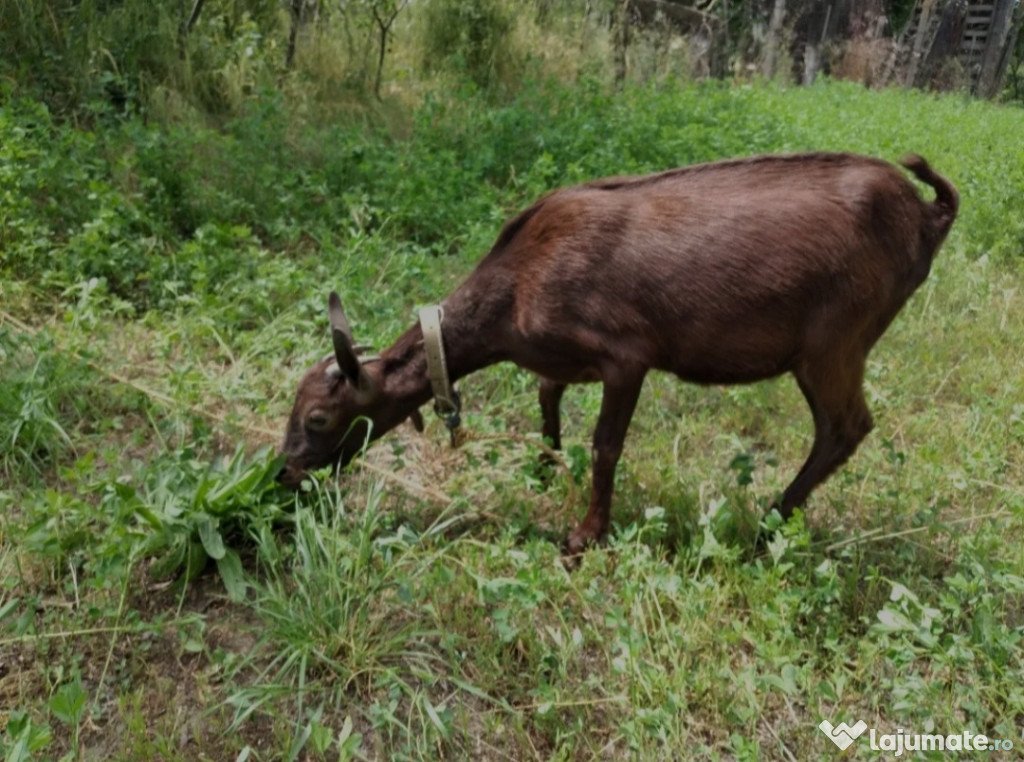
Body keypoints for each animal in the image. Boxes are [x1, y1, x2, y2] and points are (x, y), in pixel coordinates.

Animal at [278, 151, 958, 553]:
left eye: (318, 418)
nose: (284, 475)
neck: (517, 285)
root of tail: (929, 214)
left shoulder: (626, 355)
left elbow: (606, 446)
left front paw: (585, 533)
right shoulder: (559, 359)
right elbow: (547, 394)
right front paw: (545, 464)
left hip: (835, 341)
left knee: (846, 426)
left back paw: (766, 523)